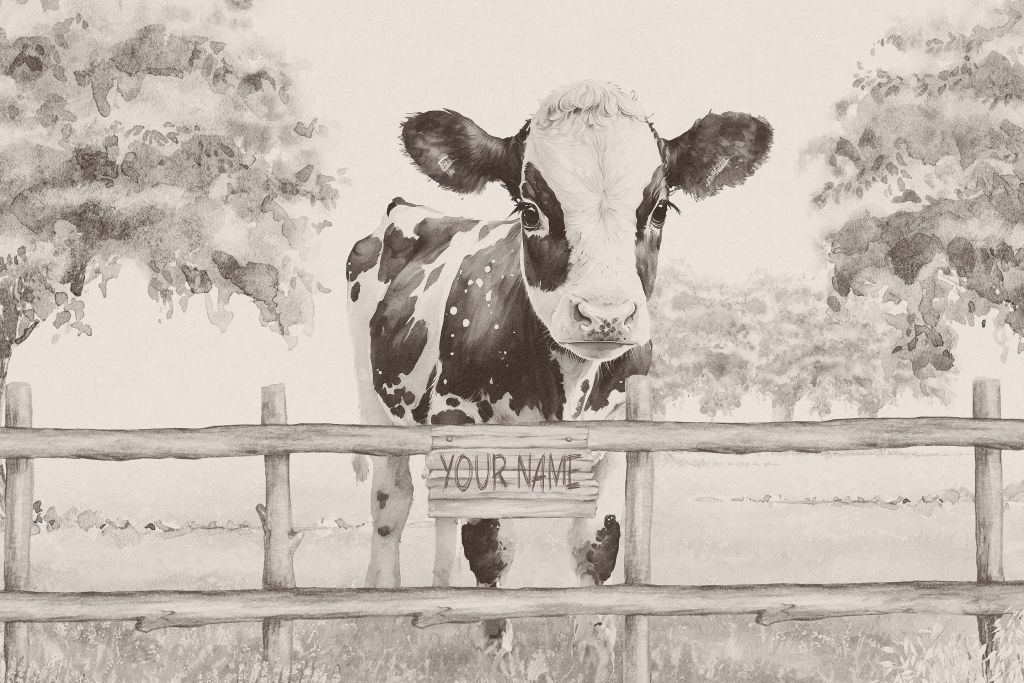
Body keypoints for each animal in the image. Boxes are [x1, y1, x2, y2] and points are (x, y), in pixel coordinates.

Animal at [344, 77, 770, 663]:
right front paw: (496, 650)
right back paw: (384, 608)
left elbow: (596, 546)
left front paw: (595, 647)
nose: (606, 315)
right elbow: (489, 543)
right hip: (377, 410)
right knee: (392, 501)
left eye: (660, 209)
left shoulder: (612, 434)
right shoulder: (462, 423)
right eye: (529, 210)